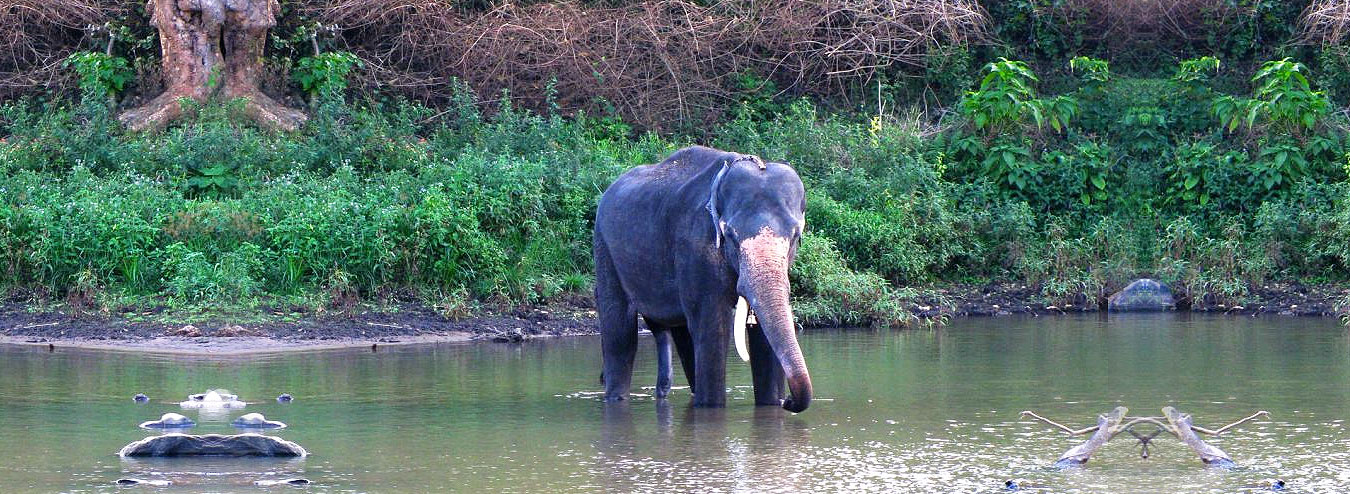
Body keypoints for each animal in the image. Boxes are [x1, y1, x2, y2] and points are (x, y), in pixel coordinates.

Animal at [594, 145, 810, 413]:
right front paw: (711, 408)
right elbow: (713, 328)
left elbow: (762, 335)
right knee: (619, 332)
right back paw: (616, 397)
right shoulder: (694, 247)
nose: (788, 401)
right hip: (604, 248)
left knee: (679, 333)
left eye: (795, 236)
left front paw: (770, 405)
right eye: (730, 235)